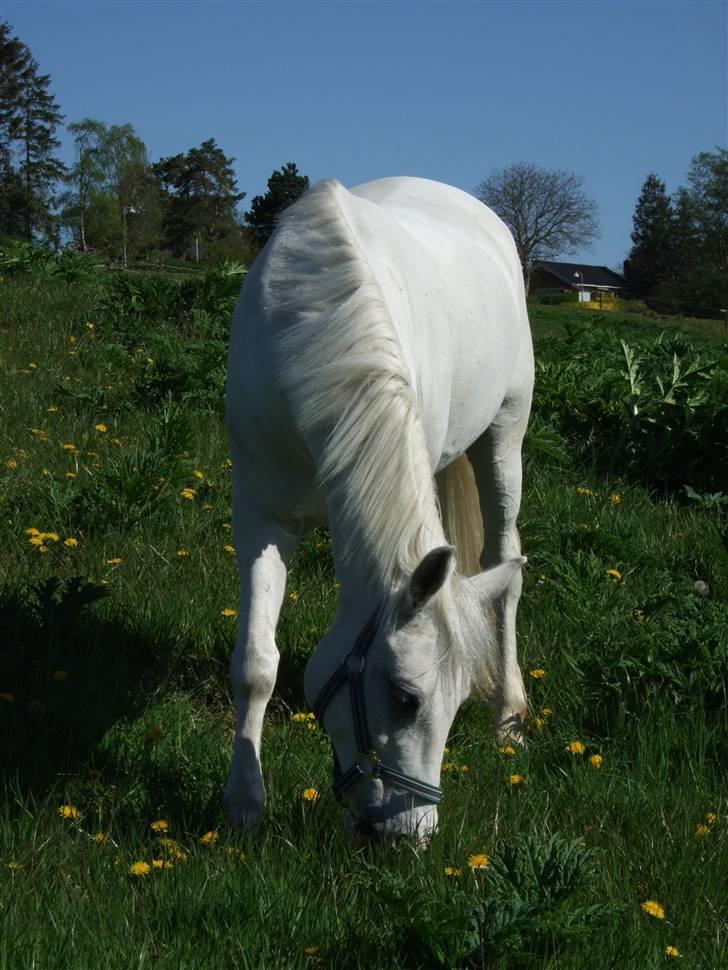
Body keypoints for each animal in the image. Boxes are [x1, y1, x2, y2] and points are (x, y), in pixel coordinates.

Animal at [225, 178, 532, 844]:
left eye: (455, 702)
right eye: (405, 697)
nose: (407, 835)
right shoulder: (260, 516)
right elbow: (257, 662)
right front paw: (244, 800)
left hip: (505, 434)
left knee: (506, 563)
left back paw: (510, 714)